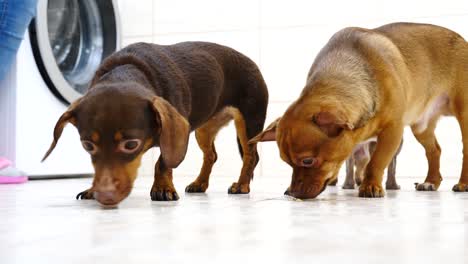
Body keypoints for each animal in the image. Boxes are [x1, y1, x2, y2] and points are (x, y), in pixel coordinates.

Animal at [44, 41, 270, 206]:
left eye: (131, 144)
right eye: (87, 145)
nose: (106, 195)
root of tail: (250, 61)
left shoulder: (174, 134)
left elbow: (162, 163)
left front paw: (163, 189)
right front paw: (91, 189)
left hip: (249, 122)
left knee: (250, 156)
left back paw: (241, 185)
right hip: (204, 130)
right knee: (211, 155)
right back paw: (200, 183)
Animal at [250, 23, 468, 198]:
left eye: (308, 161)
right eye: (287, 163)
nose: (292, 193)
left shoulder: (392, 132)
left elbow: (376, 162)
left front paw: (370, 186)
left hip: (464, 115)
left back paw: (462, 184)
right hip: (421, 127)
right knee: (434, 151)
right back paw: (431, 181)